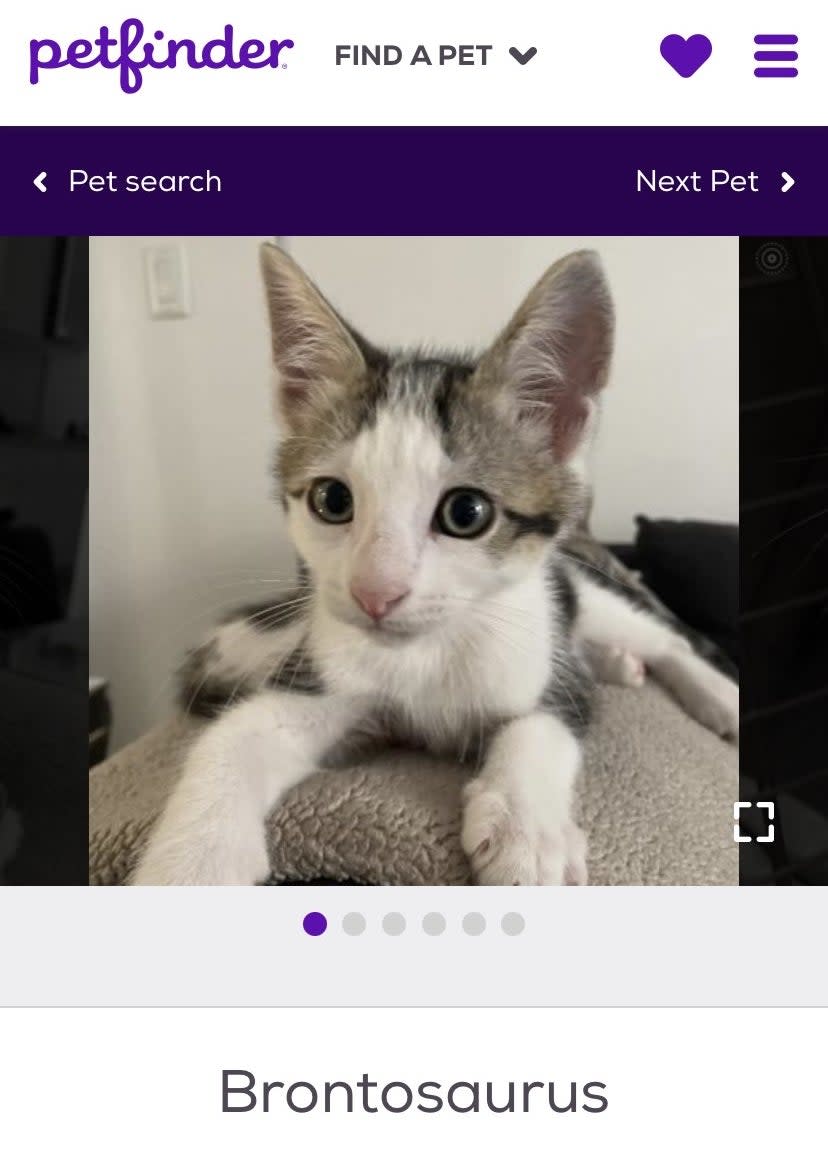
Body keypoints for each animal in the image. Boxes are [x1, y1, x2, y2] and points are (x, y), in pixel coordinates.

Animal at [132, 248, 739, 887]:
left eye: (466, 513)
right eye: (332, 500)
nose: (375, 593)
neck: (429, 652)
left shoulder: (546, 658)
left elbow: (545, 724)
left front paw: (528, 832)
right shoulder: (321, 674)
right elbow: (233, 735)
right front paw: (191, 861)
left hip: (585, 592)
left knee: (666, 641)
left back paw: (716, 697)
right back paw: (621, 666)